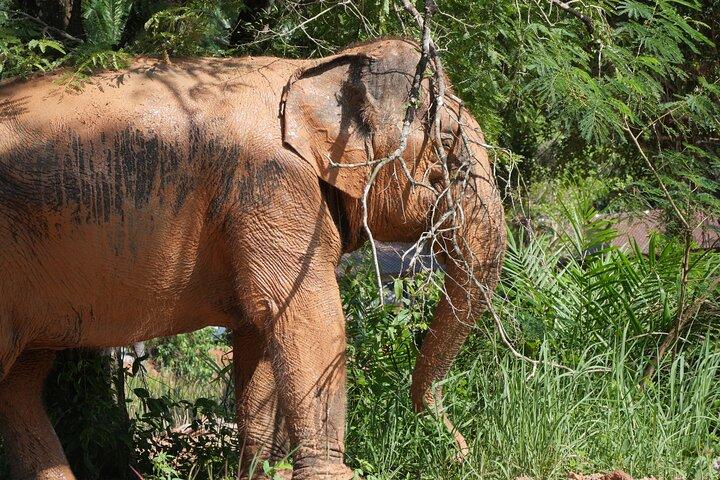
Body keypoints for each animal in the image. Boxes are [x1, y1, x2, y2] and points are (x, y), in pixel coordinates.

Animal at [0, 38, 506, 479]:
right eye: (447, 145)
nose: (461, 451)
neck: (316, 71)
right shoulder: (272, 187)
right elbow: (309, 318)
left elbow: (258, 336)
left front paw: (261, 473)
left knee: (21, 382)